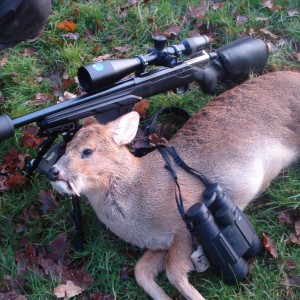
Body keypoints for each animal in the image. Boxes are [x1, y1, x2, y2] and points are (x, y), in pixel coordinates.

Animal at [47, 72, 300, 300]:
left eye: (87, 151)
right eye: (65, 149)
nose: (52, 171)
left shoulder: (186, 220)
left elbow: (174, 273)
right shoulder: (163, 242)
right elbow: (141, 270)